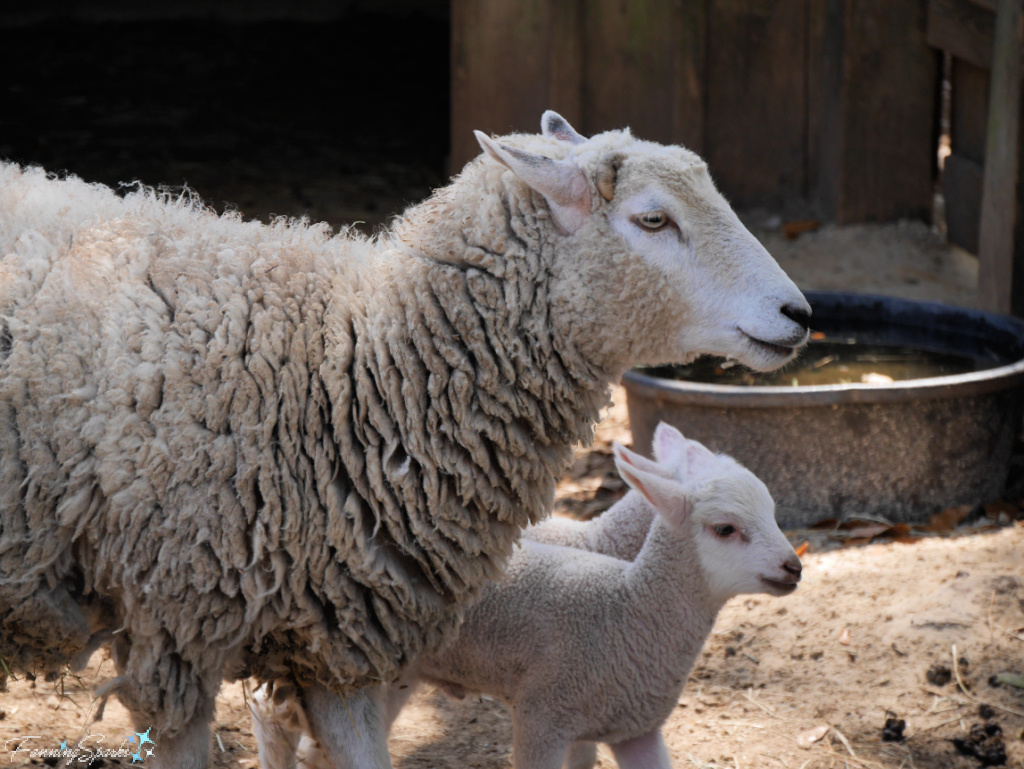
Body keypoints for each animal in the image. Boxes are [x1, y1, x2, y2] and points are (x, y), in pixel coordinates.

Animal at [256, 423, 798, 765]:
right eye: (725, 529)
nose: (793, 567)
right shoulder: (545, 713)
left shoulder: (626, 725)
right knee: (275, 721)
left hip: (393, 670)